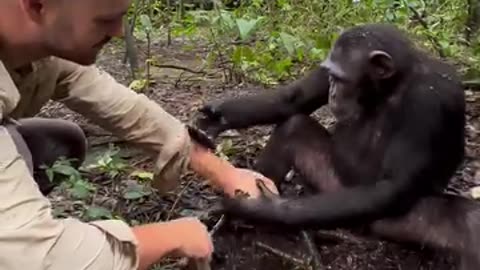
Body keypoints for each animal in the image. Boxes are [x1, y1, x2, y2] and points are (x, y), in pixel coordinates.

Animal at [193, 23, 480, 270]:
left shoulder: (430, 100)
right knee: (294, 126)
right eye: (330, 76)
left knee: (468, 224)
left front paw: (256, 207)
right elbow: (293, 99)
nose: (332, 91)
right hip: (331, 182)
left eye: (341, 80)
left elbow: (393, 185)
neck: (392, 84)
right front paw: (215, 119)